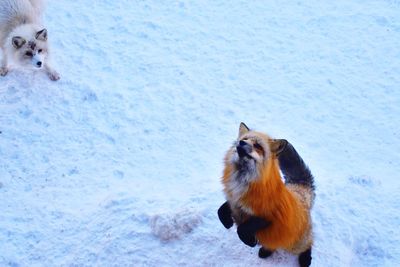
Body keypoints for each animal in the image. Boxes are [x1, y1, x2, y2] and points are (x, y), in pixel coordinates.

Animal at [219, 123, 316, 267]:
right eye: (245, 139)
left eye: (258, 146)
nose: (241, 143)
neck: (242, 182)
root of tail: (300, 190)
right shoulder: (234, 201)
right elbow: (221, 210)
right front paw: (227, 222)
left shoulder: (270, 215)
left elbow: (243, 228)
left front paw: (249, 241)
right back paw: (266, 250)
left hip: (295, 244)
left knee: (309, 243)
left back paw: (305, 258)